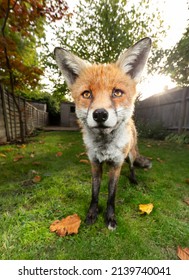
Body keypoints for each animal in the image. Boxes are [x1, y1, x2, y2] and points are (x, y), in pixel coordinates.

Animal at [54, 37, 151, 230]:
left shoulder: (116, 164)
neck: (104, 146)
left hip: (130, 154)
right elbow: (95, 192)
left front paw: (110, 217)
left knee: (131, 165)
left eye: (117, 92)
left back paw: (134, 179)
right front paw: (92, 213)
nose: (99, 114)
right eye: (87, 94)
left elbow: (111, 195)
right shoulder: (94, 163)